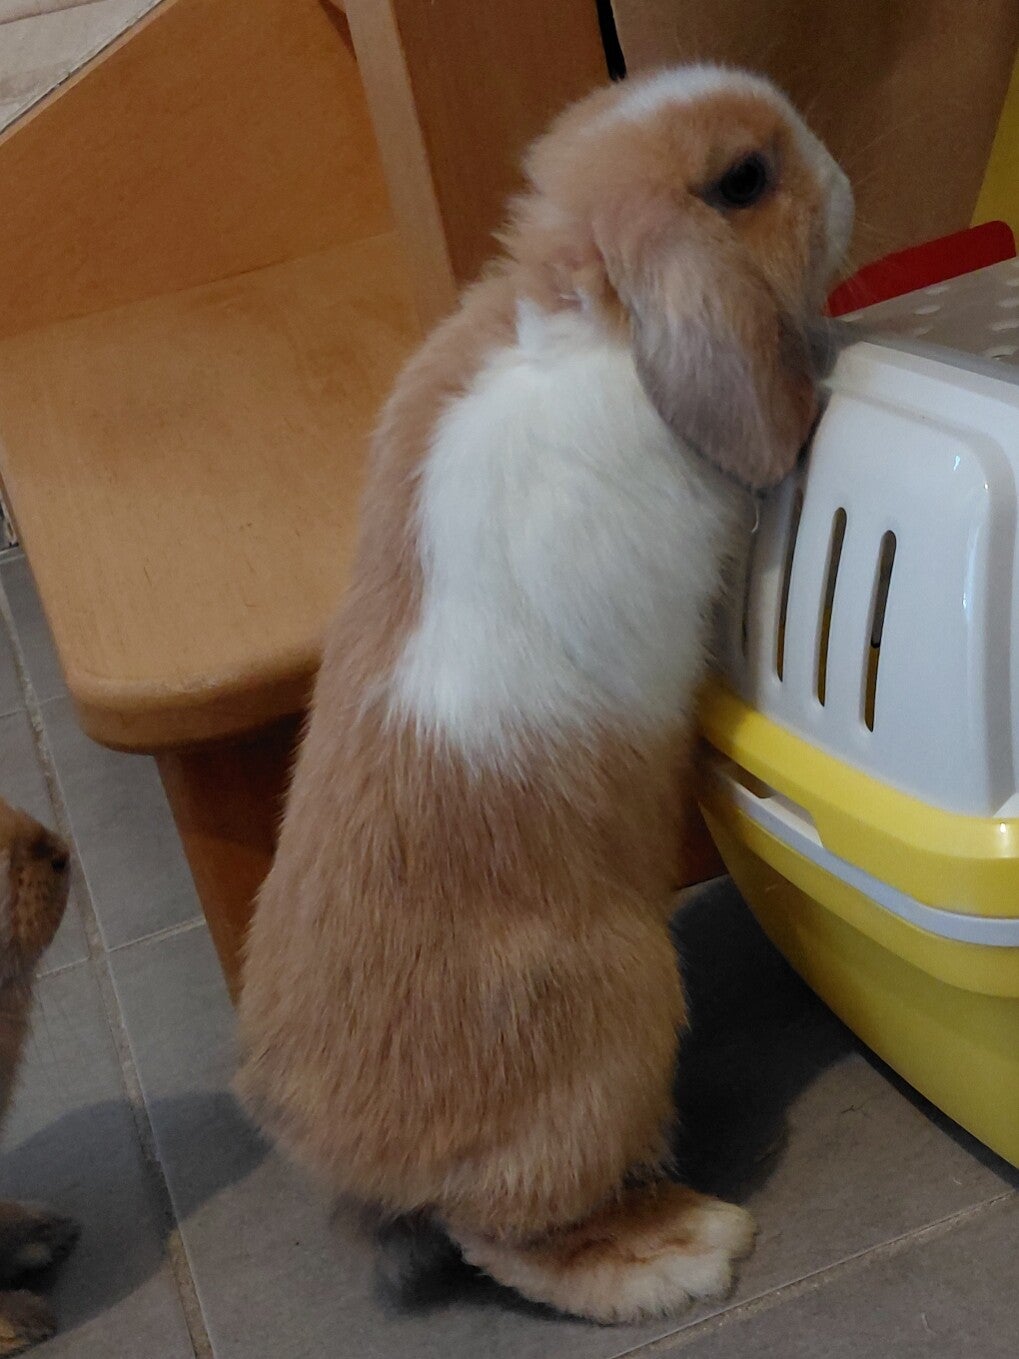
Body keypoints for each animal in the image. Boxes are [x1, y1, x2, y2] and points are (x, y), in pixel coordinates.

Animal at [236, 64, 853, 1325]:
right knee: (504, 1236)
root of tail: (340, 1152)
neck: (593, 306)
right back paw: (676, 1253)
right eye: (743, 180)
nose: (841, 175)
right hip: (615, 1024)